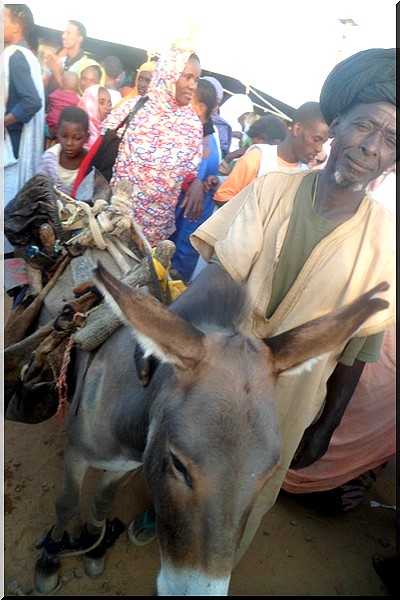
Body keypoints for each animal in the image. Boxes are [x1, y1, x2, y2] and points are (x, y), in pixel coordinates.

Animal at [34, 262, 389, 596]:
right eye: (178, 463)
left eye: (268, 475)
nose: (198, 592)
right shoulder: (77, 454)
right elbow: (66, 504)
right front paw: (50, 561)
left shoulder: (127, 465)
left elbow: (103, 501)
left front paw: (94, 544)